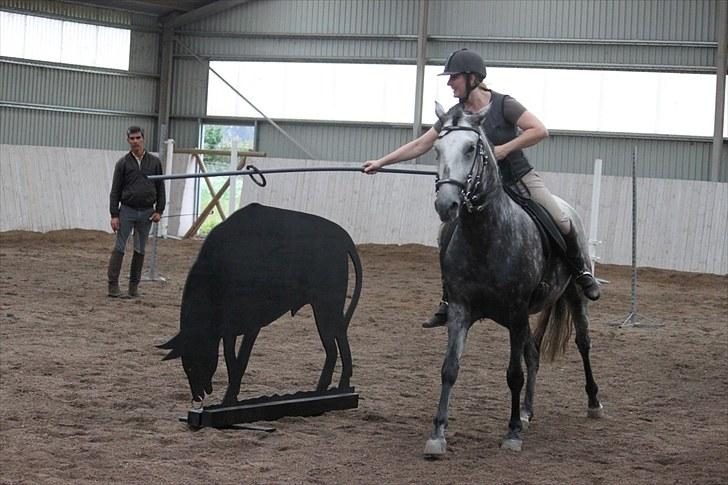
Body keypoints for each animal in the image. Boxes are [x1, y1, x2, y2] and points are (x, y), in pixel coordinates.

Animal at [424, 102, 600, 458]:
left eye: (470, 148)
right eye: (436, 148)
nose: (446, 204)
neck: (486, 237)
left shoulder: (517, 310)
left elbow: (513, 374)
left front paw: (512, 433)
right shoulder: (461, 309)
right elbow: (449, 369)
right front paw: (437, 434)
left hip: (573, 296)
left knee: (582, 343)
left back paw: (593, 402)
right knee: (533, 353)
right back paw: (527, 411)